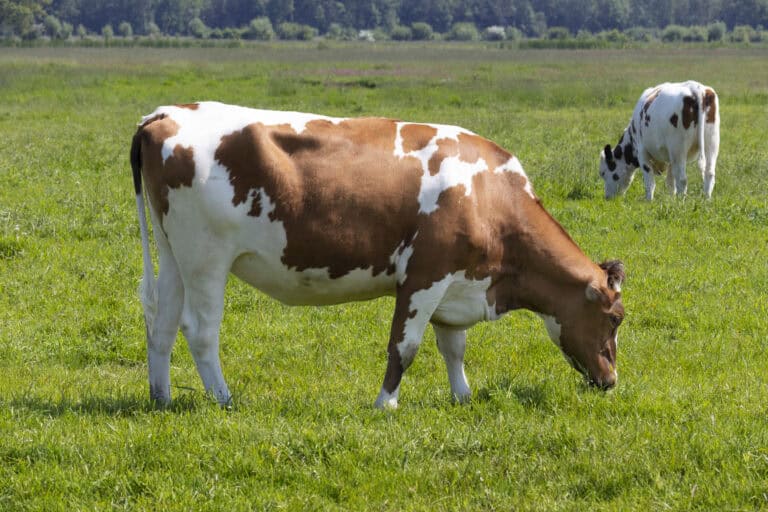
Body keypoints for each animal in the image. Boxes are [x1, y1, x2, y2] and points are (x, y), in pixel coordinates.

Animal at [130, 101, 626, 409]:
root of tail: (164, 114)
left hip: (173, 256)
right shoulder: (425, 274)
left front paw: (462, 396)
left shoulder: (457, 282)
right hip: (207, 258)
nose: (611, 382)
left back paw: (162, 397)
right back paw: (224, 399)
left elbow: (454, 347)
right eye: (615, 319)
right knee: (200, 331)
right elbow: (404, 346)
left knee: (162, 324)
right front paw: (386, 402)